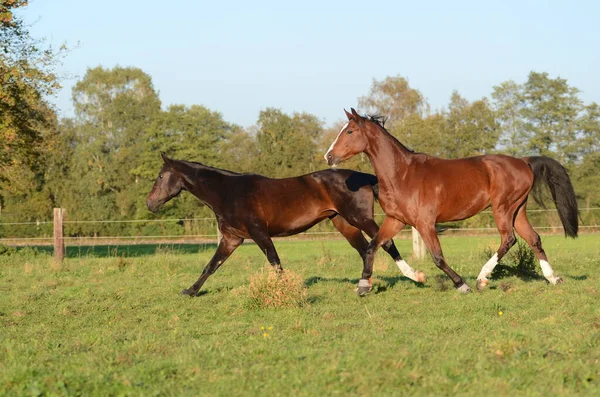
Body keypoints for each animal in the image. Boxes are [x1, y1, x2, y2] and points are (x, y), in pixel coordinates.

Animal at [146, 153, 426, 296]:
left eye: (160, 176)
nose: (150, 204)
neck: (228, 192)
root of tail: (365, 177)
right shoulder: (231, 239)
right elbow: (211, 266)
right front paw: (190, 291)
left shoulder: (259, 233)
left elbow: (275, 263)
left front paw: (289, 291)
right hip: (344, 224)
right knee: (365, 249)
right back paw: (366, 284)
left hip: (360, 218)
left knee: (384, 243)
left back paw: (414, 276)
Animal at [326, 108, 580, 294]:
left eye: (350, 131)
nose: (328, 156)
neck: (402, 174)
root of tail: (523, 162)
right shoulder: (396, 220)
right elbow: (373, 246)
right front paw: (363, 286)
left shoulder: (425, 224)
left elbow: (438, 257)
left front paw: (461, 285)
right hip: (518, 210)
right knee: (533, 238)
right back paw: (553, 278)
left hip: (503, 208)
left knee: (509, 239)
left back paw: (481, 279)